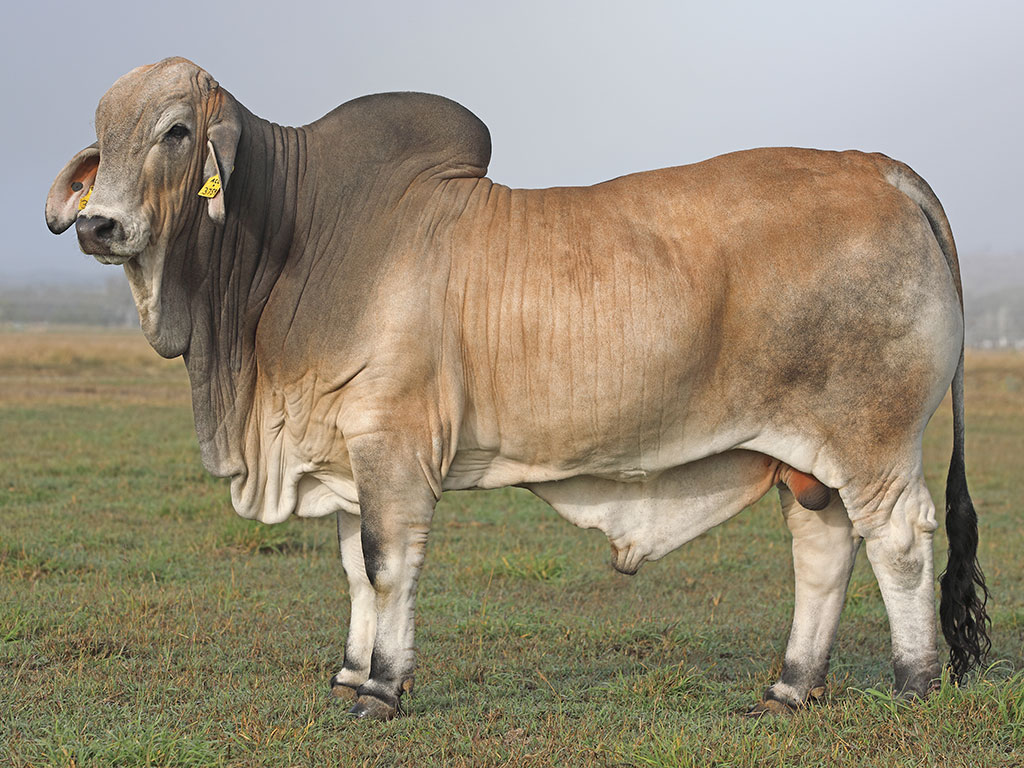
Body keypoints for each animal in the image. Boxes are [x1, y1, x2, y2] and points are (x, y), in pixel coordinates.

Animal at [46, 57, 989, 720]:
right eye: (102, 133)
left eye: (175, 131)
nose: (100, 224)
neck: (296, 234)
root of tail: (884, 169)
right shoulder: (346, 451)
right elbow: (353, 568)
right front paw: (349, 671)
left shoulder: (394, 444)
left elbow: (388, 564)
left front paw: (380, 689)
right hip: (804, 456)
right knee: (821, 549)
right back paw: (790, 687)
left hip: (871, 440)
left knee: (900, 541)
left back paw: (913, 683)